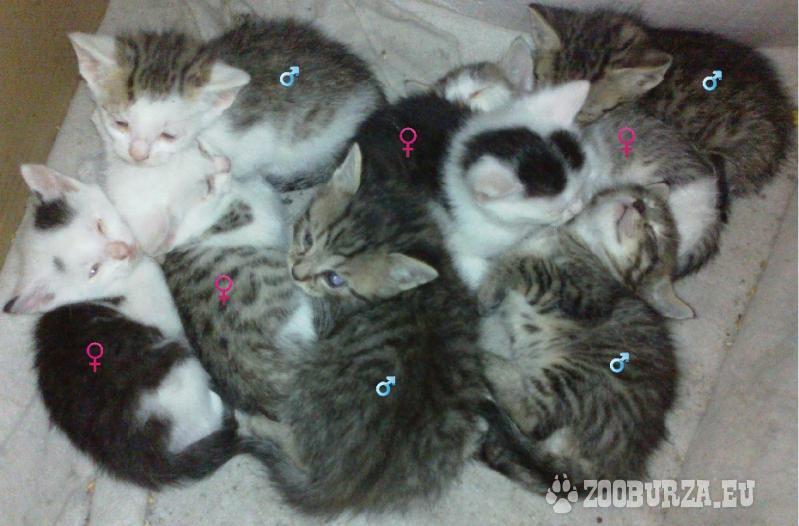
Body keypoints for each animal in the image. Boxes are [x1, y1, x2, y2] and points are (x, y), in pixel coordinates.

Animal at [3, 165, 263, 488]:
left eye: (100, 225)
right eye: (93, 270)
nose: (122, 250)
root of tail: (142, 459)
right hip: (176, 364)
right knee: (210, 413)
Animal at [243, 141, 536, 515]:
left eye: (334, 279)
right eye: (307, 238)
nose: (297, 272)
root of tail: (350, 484)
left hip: (306, 383)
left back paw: (257, 423)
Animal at [475, 185, 678, 492]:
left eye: (653, 237)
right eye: (645, 199)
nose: (640, 206)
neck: (584, 240)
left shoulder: (584, 296)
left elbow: (527, 264)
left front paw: (488, 287)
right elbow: (513, 254)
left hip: (580, 374)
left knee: (532, 418)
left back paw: (484, 362)